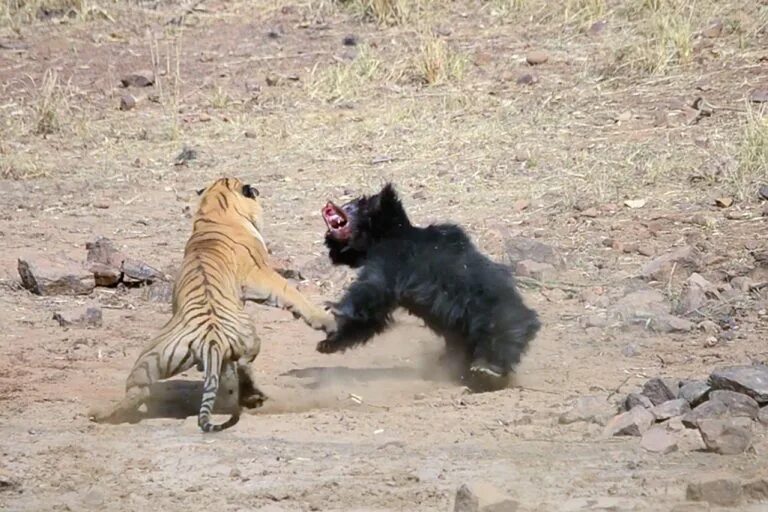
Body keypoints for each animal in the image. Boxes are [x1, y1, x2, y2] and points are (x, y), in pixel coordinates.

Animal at [88, 177, 334, 432]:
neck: (214, 212)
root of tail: (211, 339)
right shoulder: (260, 275)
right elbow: (292, 294)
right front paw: (326, 320)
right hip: (249, 337)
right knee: (243, 364)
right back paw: (253, 396)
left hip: (150, 358)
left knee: (139, 391)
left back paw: (101, 414)